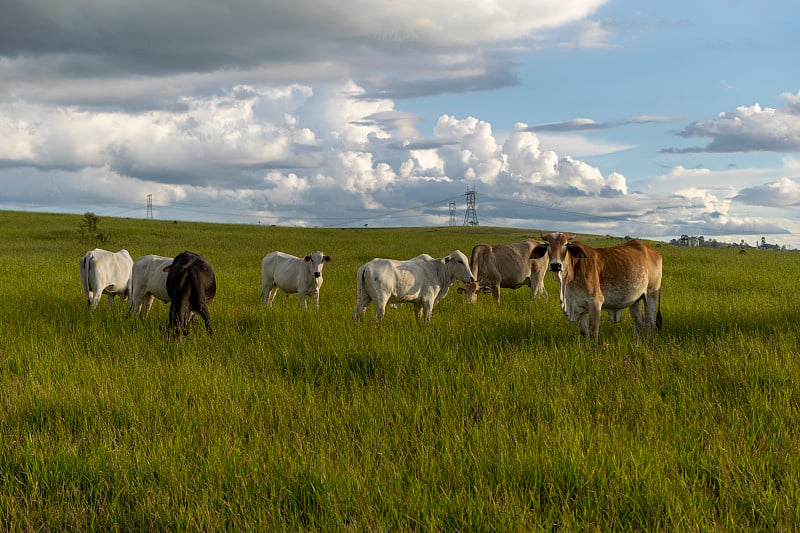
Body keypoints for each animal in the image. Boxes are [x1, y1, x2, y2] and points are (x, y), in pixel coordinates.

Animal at [532, 232, 664, 338]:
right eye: (548, 244)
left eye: (565, 244)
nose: (556, 265)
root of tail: (655, 253)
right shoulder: (578, 307)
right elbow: (584, 333)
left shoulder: (595, 303)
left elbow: (593, 332)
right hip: (635, 299)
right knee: (639, 323)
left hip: (651, 295)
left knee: (649, 322)